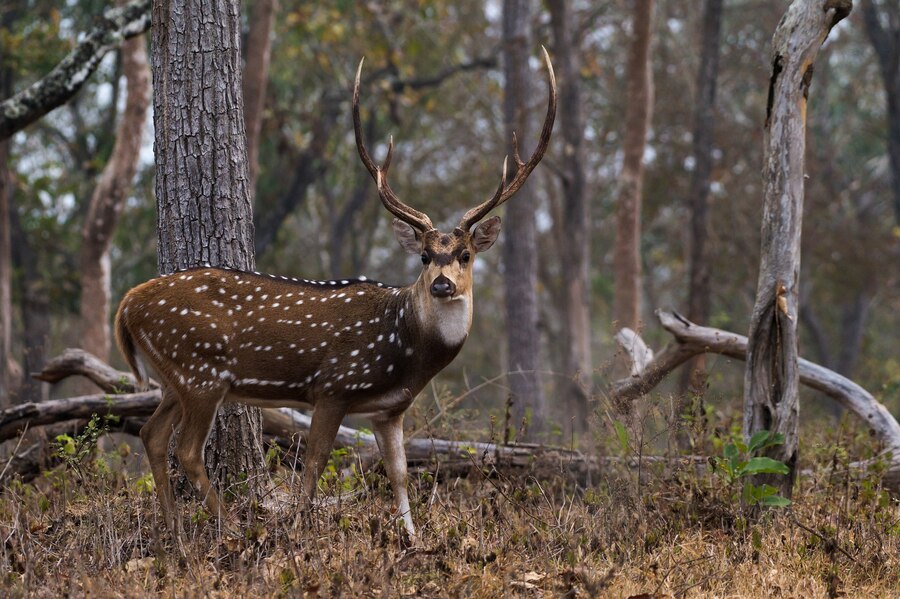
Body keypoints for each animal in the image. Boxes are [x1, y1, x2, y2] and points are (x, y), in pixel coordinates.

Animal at [114, 49, 556, 538]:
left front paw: (412, 536)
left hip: (176, 376)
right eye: (424, 256)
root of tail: (127, 304)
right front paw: (299, 527)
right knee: (187, 449)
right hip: (200, 371)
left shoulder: (389, 409)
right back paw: (229, 527)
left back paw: (173, 529)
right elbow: (314, 463)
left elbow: (399, 472)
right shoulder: (334, 385)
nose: (442, 284)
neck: (406, 351)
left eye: (465, 255)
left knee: (151, 434)